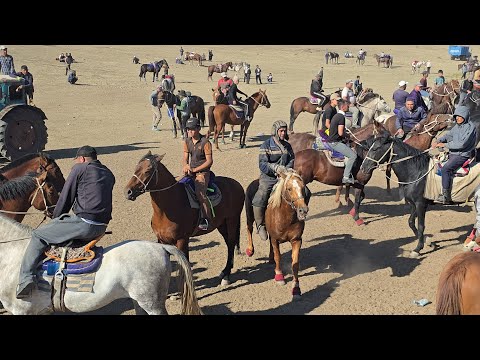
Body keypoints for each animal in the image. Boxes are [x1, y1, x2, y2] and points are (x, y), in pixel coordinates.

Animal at [124, 150, 244, 286]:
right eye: (136, 167)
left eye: (148, 170)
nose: (128, 191)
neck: (168, 209)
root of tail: (237, 184)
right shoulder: (162, 241)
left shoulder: (182, 240)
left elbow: (185, 265)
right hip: (221, 224)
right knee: (229, 243)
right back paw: (225, 271)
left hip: (232, 220)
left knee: (231, 243)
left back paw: (226, 276)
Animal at [246, 169, 310, 298]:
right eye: (289, 188)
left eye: (303, 187)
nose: (303, 210)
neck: (286, 217)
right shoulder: (276, 240)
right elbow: (278, 256)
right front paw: (279, 276)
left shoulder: (296, 240)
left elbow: (295, 263)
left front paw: (296, 288)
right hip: (249, 215)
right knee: (249, 229)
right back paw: (250, 250)